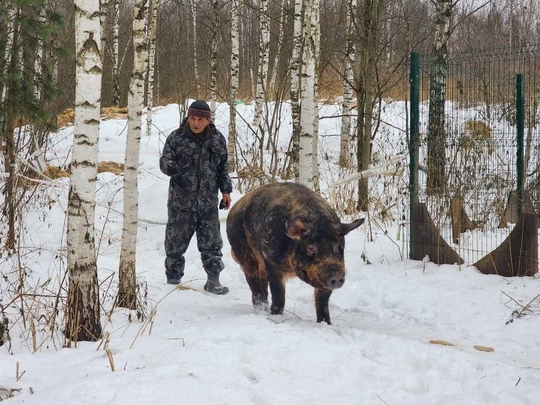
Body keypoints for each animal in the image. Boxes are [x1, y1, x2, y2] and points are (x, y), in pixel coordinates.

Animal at [224, 181, 362, 324]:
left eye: (339, 246)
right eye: (311, 248)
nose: (336, 276)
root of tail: (234, 208)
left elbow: (323, 304)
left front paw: (325, 324)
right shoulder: (272, 264)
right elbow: (279, 299)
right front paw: (276, 317)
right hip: (242, 253)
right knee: (254, 284)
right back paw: (261, 311)